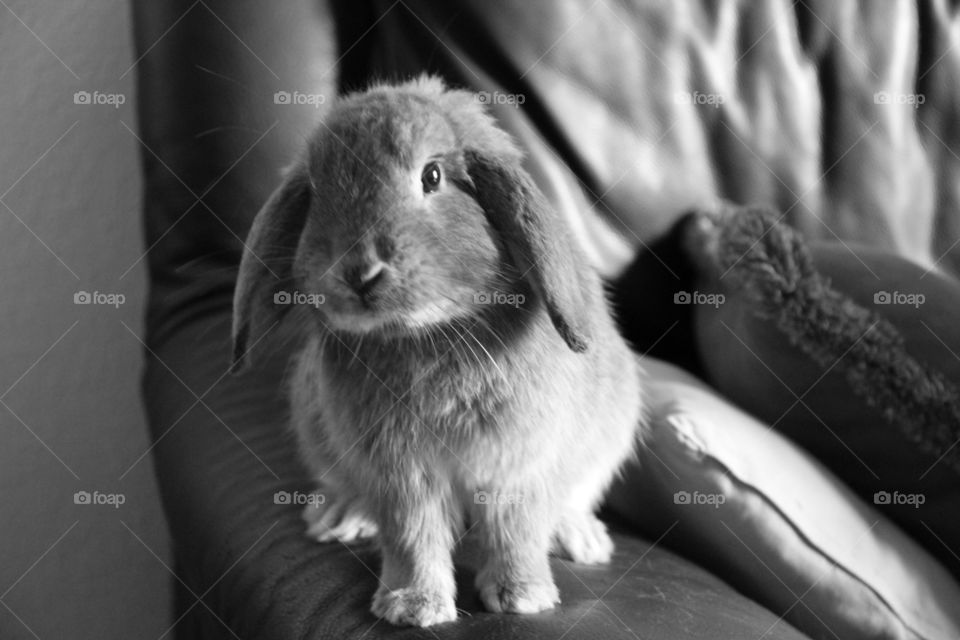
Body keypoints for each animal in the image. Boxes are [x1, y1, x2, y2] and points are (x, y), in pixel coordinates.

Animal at [232, 75, 644, 627]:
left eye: (432, 175)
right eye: (316, 191)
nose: (357, 273)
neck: (430, 333)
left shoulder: (519, 463)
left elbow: (516, 531)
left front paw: (523, 596)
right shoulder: (400, 476)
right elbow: (412, 536)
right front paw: (413, 607)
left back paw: (582, 539)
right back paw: (338, 517)